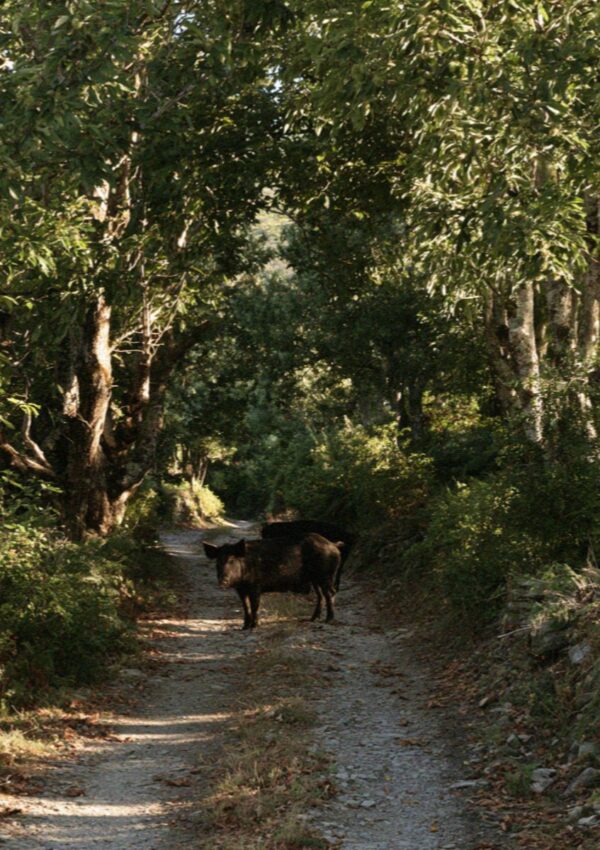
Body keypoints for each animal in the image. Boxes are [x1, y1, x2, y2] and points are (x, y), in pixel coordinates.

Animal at [203, 533, 342, 629]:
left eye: (232, 560)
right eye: (218, 561)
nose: (222, 581)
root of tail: (333, 545)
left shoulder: (255, 587)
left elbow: (254, 606)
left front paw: (254, 626)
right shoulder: (241, 590)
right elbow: (245, 606)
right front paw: (244, 627)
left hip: (325, 575)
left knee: (330, 593)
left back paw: (328, 620)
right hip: (315, 578)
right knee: (321, 595)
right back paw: (312, 619)